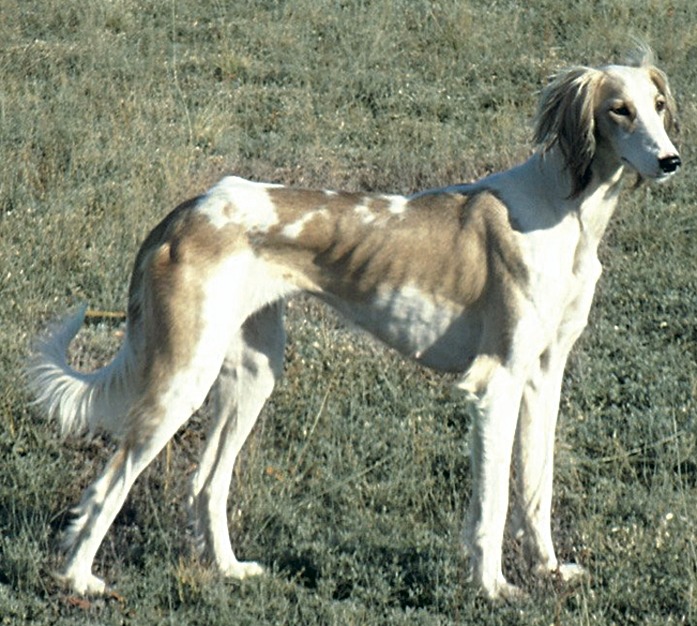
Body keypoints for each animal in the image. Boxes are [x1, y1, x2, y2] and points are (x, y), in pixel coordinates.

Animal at [28, 47, 680, 596]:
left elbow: (536, 489)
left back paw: (229, 569)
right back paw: (79, 580)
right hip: (181, 379)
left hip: (252, 373)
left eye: (658, 105)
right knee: (110, 483)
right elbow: (494, 504)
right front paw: (493, 587)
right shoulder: (495, 383)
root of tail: (188, 210)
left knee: (206, 484)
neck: (565, 210)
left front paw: (549, 569)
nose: (671, 161)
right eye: (618, 110)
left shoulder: (543, 377)